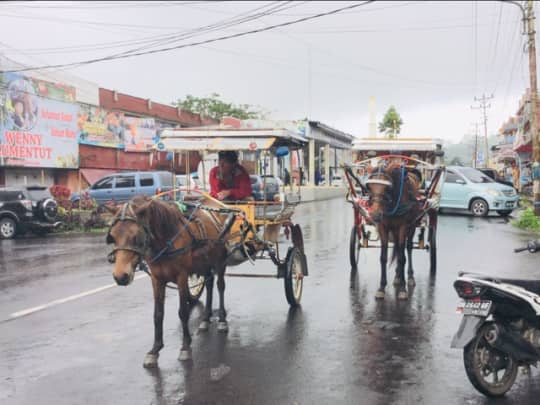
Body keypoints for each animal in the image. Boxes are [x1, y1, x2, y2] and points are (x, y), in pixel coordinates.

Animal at [106, 194, 237, 368]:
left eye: (136, 236)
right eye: (112, 236)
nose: (120, 276)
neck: (166, 240)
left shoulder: (181, 276)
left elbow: (183, 312)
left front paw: (185, 347)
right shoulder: (157, 280)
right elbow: (157, 314)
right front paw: (155, 350)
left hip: (220, 261)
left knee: (220, 286)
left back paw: (222, 320)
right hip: (204, 263)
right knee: (209, 284)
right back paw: (205, 319)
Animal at [364, 162, 424, 300]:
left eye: (387, 188)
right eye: (370, 187)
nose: (375, 214)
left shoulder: (403, 226)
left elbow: (402, 258)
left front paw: (402, 288)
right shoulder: (382, 227)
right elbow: (383, 257)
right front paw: (381, 288)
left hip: (412, 226)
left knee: (408, 248)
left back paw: (409, 277)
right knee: (398, 248)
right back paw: (397, 276)